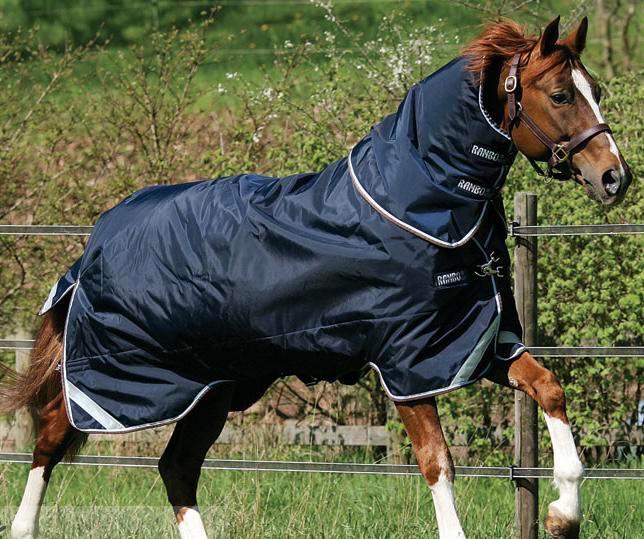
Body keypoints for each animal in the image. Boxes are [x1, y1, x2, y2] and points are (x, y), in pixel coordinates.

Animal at [0, 16, 632, 539]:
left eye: (597, 91)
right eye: (560, 95)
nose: (614, 177)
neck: (421, 199)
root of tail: (93, 244)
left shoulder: (476, 343)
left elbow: (549, 388)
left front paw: (562, 516)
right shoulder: (405, 363)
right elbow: (438, 464)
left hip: (215, 385)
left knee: (176, 466)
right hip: (121, 378)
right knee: (52, 435)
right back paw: (25, 526)